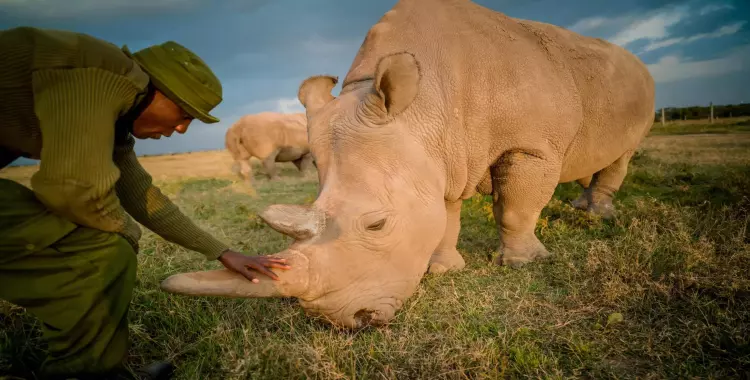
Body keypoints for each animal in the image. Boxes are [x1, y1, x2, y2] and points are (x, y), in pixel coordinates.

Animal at [162, 0, 656, 326]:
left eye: (377, 225)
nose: (354, 320)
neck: (425, 106)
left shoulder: (529, 146)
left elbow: (516, 207)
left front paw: (523, 264)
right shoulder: (443, 156)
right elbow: (445, 216)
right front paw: (443, 269)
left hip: (637, 87)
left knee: (625, 151)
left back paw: (596, 216)